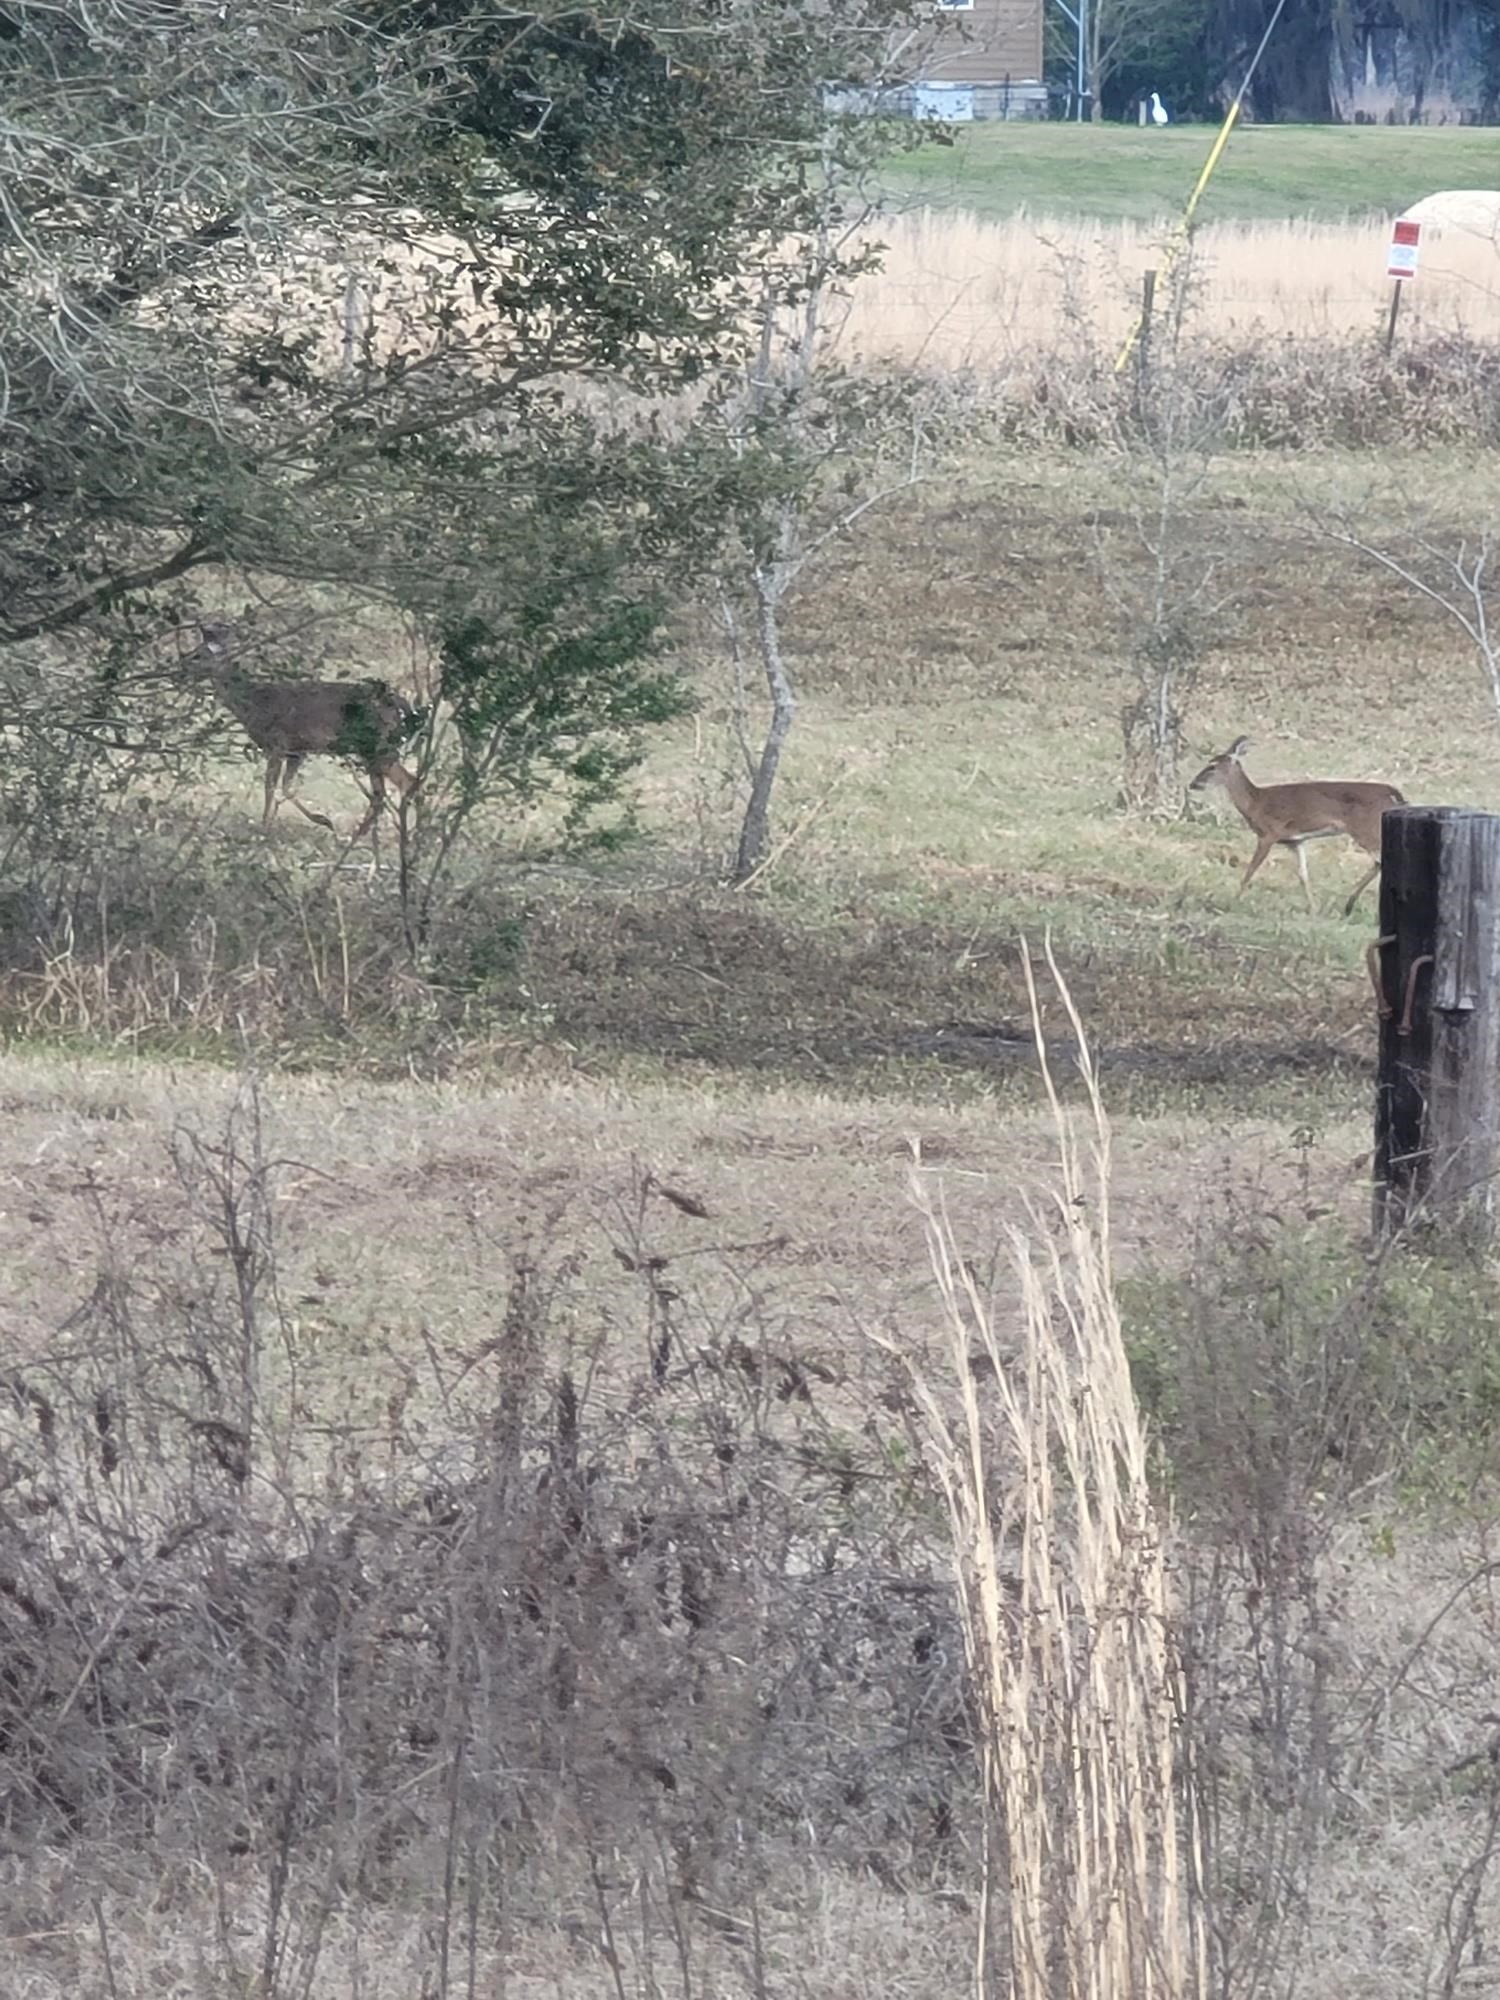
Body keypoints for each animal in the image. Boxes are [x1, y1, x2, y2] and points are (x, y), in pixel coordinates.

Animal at [191, 616, 424, 836]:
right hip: (371, 750)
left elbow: (270, 786)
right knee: (383, 794)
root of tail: (400, 705)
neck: (254, 704)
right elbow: (286, 787)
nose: (183, 668)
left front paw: (264, 826)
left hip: (377, 746)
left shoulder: (278, 743)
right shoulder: (297, 751)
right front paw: (323, 820)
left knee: (405, 782)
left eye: (197, 655)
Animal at [1184, 740, 1408, 916]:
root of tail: (1392, 793)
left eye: (1212, 766)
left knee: (1381, 861)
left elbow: (1251, 869)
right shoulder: (1296, 840)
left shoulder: (1268, 833)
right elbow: (1303, 875)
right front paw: (1313, 910)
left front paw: (1232, 902)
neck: (1255, 803)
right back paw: (1348, 906)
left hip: (1366, 828)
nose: (1192, 783)